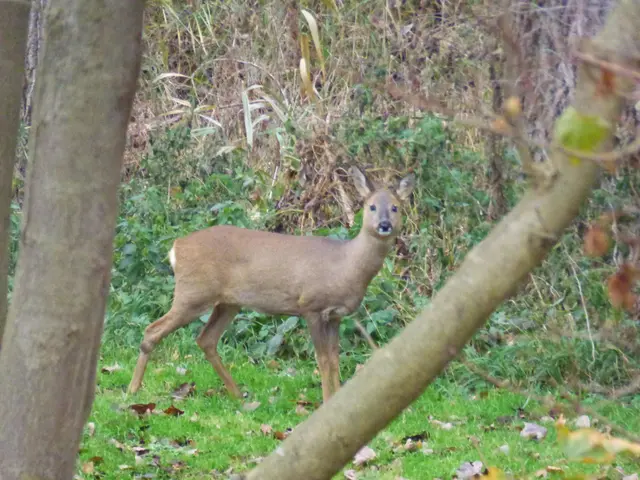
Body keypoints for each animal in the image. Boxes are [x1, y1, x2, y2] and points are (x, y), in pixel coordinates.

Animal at [127, 166, 415, 403]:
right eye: (371, 207)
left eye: (395, 207)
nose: (384, 225)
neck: (345, 265)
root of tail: (176, 248)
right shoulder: (310, 305)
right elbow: (323, 360)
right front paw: (326, 401)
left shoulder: (335, 315)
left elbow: (334, 359)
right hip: (193, 293)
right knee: (153, 330)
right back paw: (132, 390)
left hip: (228, 302)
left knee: (206, 339)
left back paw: (237, 395)